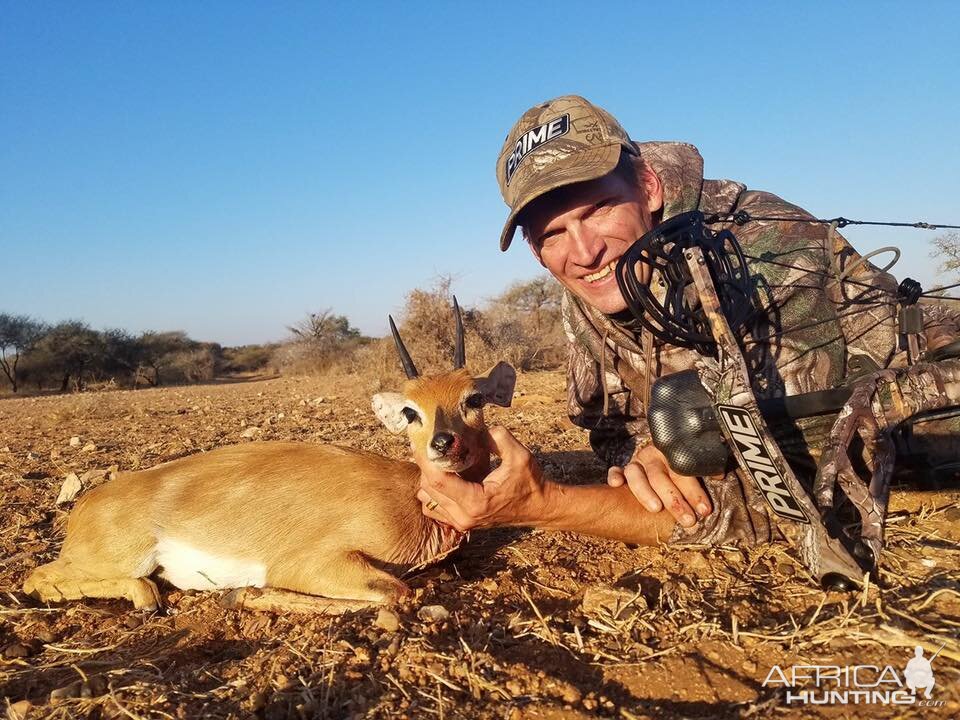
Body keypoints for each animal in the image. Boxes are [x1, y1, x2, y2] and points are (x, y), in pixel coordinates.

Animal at [20, 300, 516, 612]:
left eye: (473, 398)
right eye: (411, 411)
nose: (444, 444)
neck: (410, 499)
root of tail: (86, 503)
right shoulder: (309, 564)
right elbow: (395, 591)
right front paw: (242, 595)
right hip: (119, 559)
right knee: (36, 578)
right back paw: (146, 598)